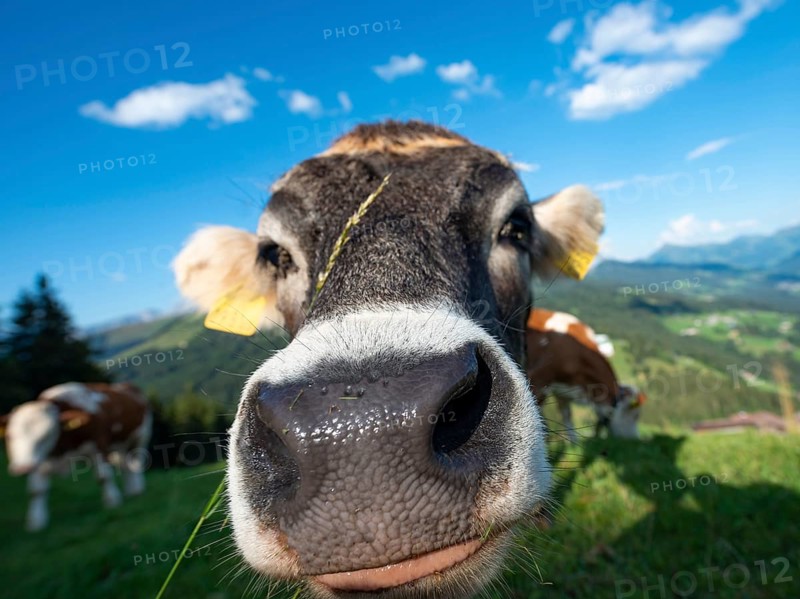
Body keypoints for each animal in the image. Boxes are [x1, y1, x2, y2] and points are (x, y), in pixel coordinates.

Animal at [1, 382, 151, 531]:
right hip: (119, 446)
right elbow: (36, 490)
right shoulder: (40, 461)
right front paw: (36, 522)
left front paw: (112, 501)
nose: (22, 468)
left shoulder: (99, 446)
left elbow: (103, 477)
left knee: (136, 463)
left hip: (140, 438)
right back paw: (130, 491)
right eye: (9, 436)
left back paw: (138, 489)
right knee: (123, 465)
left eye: (47, 435)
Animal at [526, 308, 645, 442]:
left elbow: (567, 415)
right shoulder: (540, 376)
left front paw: (573, 442)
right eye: (636, 415)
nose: (636, 438)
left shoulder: (563, 391)